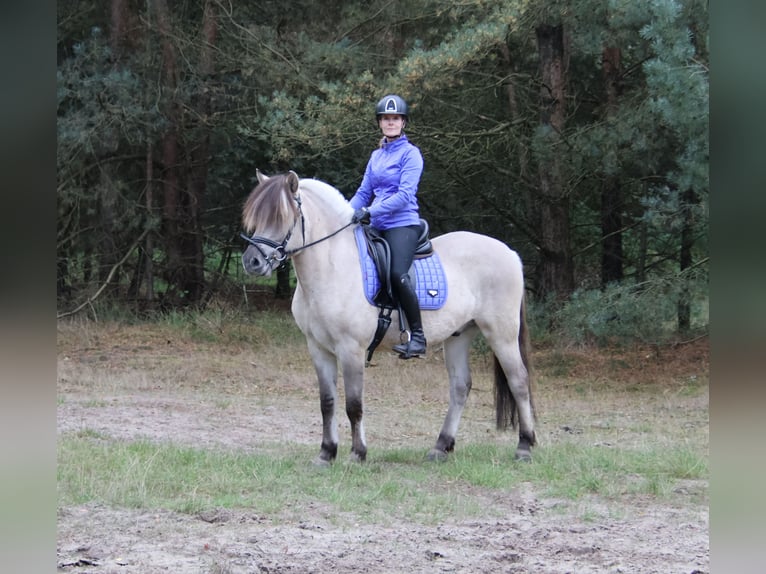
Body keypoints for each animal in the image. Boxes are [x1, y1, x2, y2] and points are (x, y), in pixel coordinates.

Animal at [241, 170, 536, 465]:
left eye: (282, 217)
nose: (252, 262)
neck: (333, 267)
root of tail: (510, 253)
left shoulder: (351, 349)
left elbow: (354, 404)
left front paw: (357, 454)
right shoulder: (318, 348)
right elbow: (327, 402)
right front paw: (326, 453)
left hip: (501, 334)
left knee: (519, 381)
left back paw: (524, 446)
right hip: (459, 335)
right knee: (460, 387)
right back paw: (441, 447)